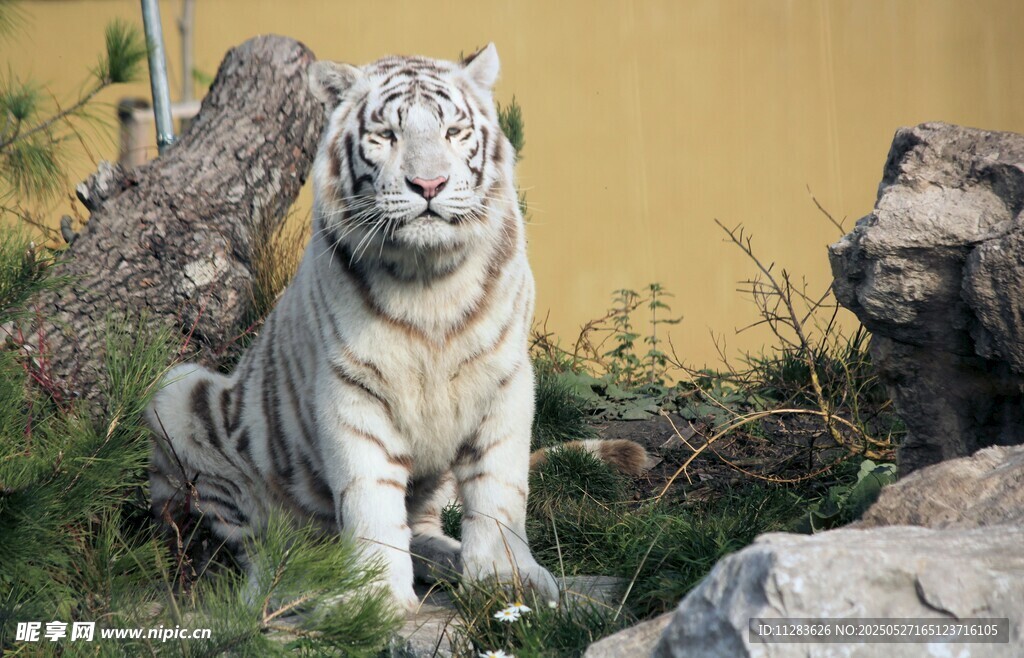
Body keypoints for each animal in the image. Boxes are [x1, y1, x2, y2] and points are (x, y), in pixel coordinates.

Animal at [145, 44, 648, 611]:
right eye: (386, 135)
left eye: (454, 132)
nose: (429, 185)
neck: (431, 281)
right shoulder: (351, 389)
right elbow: (368, 499)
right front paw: (373, 596)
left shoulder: (506, 379)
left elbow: (499, 488)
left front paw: (506, 578)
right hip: (176, 392)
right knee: (254, 540)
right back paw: (289, 580)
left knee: (423, 526)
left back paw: (448, 558)